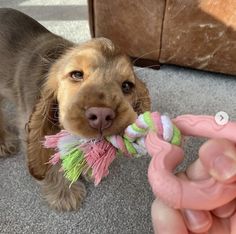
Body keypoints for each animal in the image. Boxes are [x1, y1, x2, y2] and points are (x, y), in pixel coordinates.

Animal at [0, 8, 150, 211]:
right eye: (77, 74)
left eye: (127, 86)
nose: (102, 115)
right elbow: (52, 162)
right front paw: (63, 193)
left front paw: (87, 167)